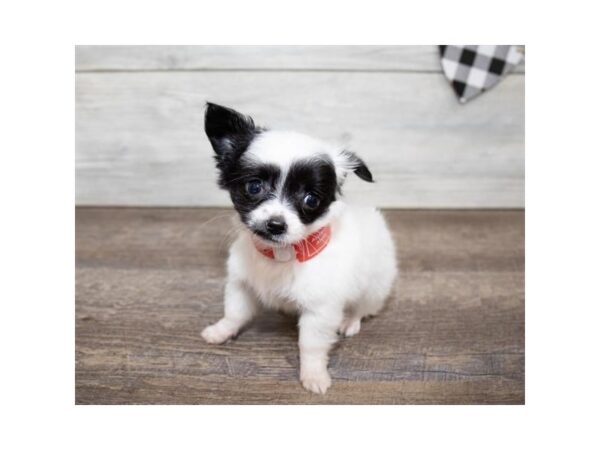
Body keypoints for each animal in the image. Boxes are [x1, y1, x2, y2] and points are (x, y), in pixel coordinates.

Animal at [202, 103, 398, 394]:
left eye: (311, 200)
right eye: (254, 187)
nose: (275, 224)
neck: (281, 256)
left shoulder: (320, 310)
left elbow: (311, 345)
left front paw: (314, 375)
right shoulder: (241, 284)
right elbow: (234, 313)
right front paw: (220, 331)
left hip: (375, 285)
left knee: (363, 307)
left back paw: (349, 321)